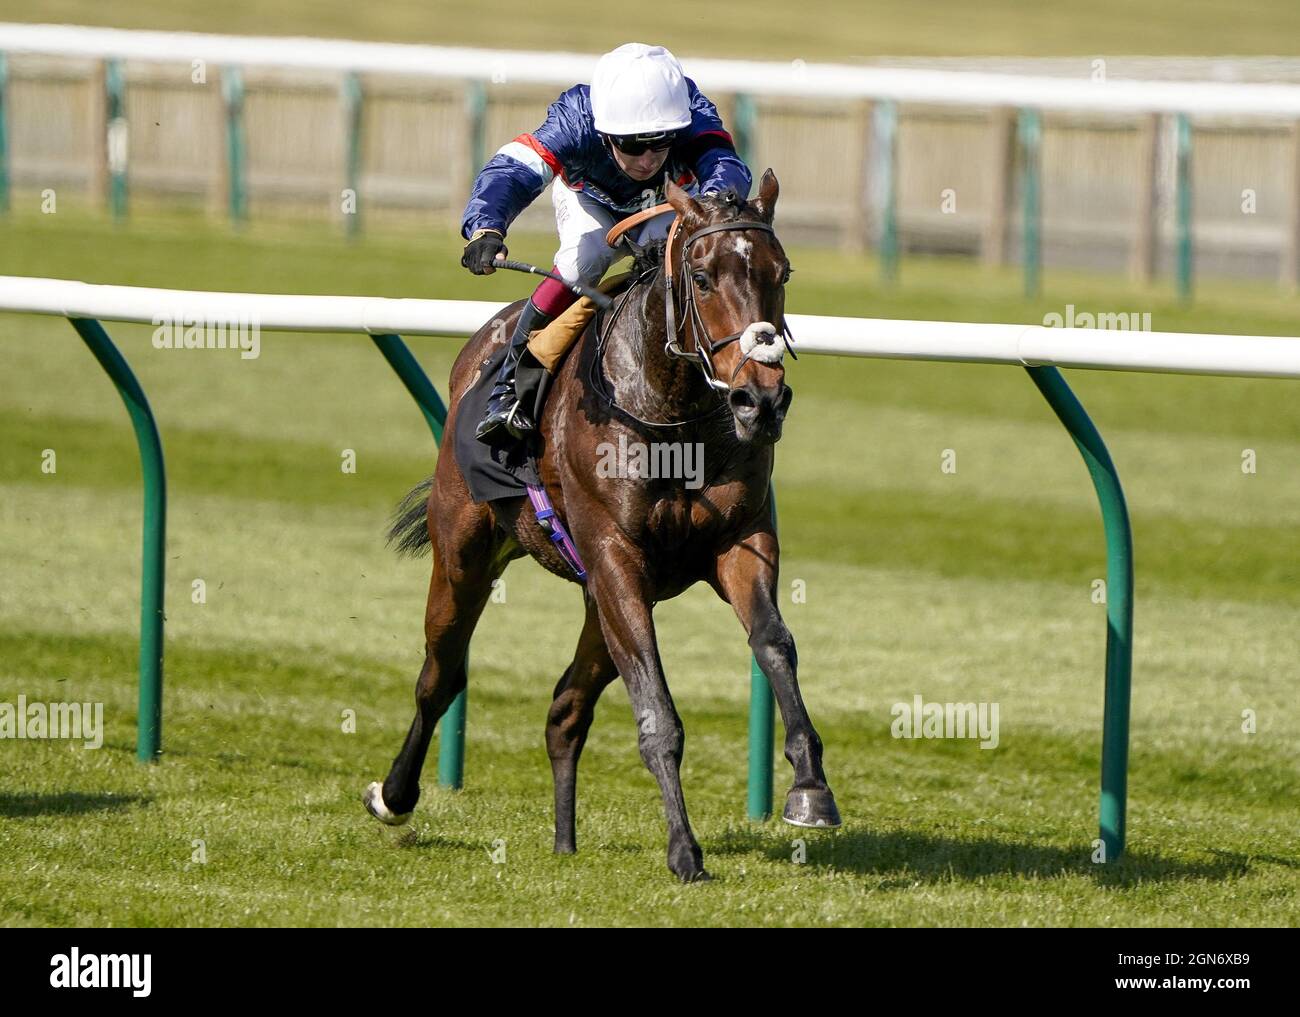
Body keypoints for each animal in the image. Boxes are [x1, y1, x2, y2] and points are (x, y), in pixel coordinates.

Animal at [364, 169, 842, 884]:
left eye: (781, 272)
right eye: (702, 277)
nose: (761, 399)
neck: (669, 412)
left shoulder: (738, 542)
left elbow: (774, 644)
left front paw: (810, 790)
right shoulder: (616, 555)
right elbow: (657, 710)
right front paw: (685, 851)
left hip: (598, 596)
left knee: (566, 708)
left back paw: (565, 841)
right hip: (465, 552)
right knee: (440, 675)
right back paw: (394, 796)